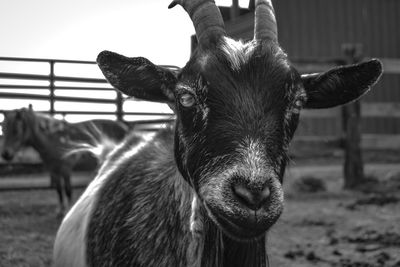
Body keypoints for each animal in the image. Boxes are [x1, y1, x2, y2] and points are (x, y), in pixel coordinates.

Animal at [1, 107, 130, 216]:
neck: (53, 139)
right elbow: (59, 191)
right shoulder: (54, 171)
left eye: (16, 130)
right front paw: (60, 210)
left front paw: (67, 211)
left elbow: (68, 190)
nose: (5, 154)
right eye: (3, 128)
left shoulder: (65, 169)